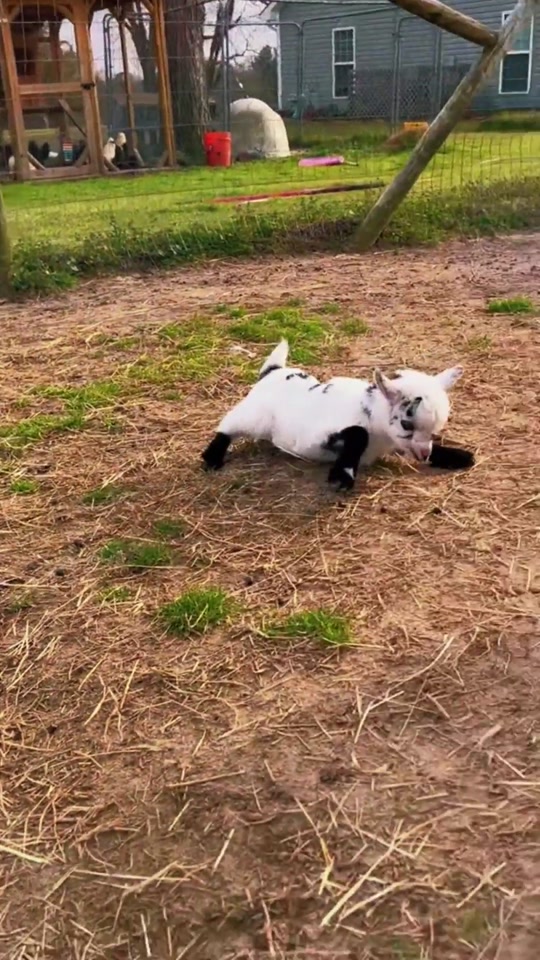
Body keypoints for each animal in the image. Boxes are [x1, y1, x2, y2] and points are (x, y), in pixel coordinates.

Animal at [201, 339, 474, 490]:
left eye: (435, 429)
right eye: (407, 424)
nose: (424, 454)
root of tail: (272, 371)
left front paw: (458, 456)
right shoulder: (314, 438)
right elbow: (357, 434)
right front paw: (342, 477)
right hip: (253, 416)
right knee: (227, 427)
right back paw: (213, 458)